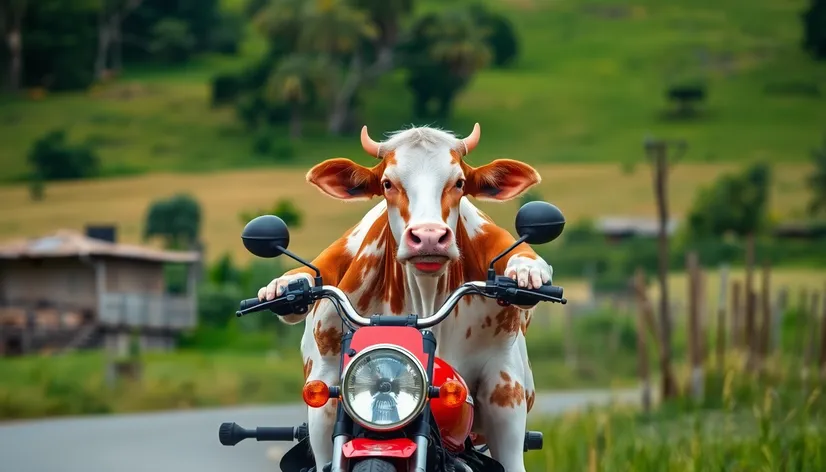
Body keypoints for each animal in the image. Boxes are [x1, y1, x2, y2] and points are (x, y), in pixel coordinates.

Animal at [260, 123, 552, 470]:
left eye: (459, 183)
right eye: (388, 183)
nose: (428, 237)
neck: (425, 295)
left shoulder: (504, 388)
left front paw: (528, 274)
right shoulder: (327, 395)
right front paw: (282, 288)